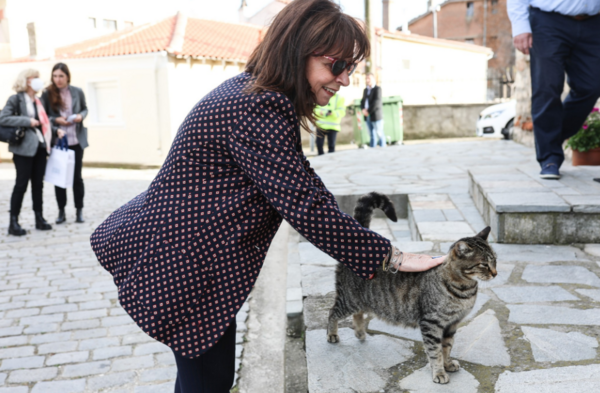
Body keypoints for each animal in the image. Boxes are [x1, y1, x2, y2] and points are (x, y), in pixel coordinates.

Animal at [328, 192, 496, 382]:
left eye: (495, 261)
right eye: (484, 264)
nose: (495, 273)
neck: (464, 290)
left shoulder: (452, 324)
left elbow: (447, 347)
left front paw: (447, 364)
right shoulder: (431, 323)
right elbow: (435, 352)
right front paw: (439, 372)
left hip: (362, 300)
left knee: (358, 313)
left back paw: (360, 332)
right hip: (348, 300)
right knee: (332, 312)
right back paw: (332, 334)